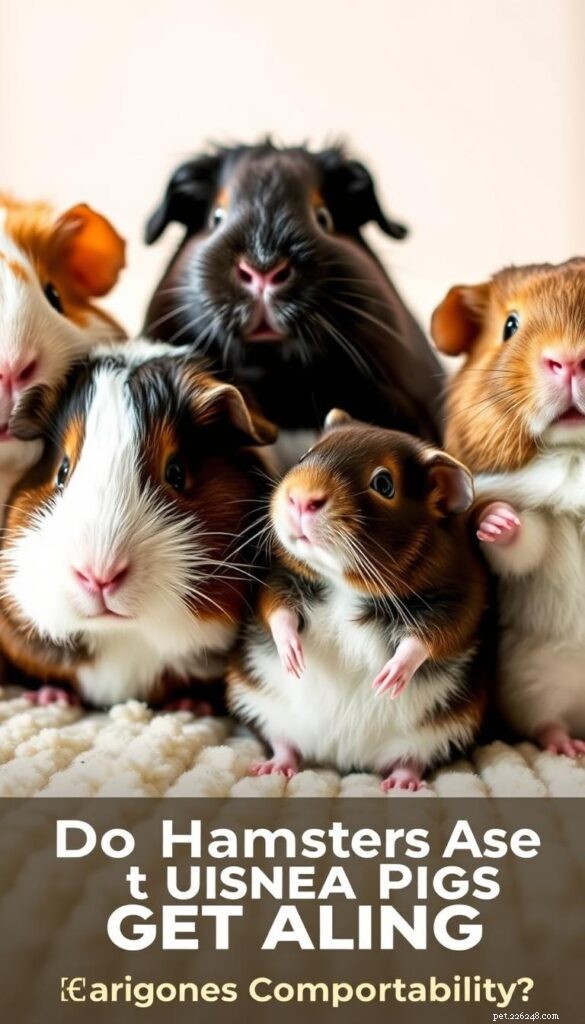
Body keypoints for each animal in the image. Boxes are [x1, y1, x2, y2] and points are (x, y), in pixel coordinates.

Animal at [227, 411, 488, 790]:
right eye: (306, 455)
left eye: (384, 484)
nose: (301, 499)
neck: (344, 586)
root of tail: (341, 756)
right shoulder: (274, 575)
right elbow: (276, 610)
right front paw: (293, 657)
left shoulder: (460, 597)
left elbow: (429, 638)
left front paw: (389, 679)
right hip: (261, 706)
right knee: (283, 743)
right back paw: (273, 768)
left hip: (439, 733)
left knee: (412, 760)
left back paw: (401, 784)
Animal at [431, 259, 585, 756]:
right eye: (510, 326)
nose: (568, 361)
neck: (575, 454)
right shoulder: (539, 526)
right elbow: (522, 542)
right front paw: (496, 522)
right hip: (530, 682)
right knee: (545, 724)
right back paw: (568, 748)